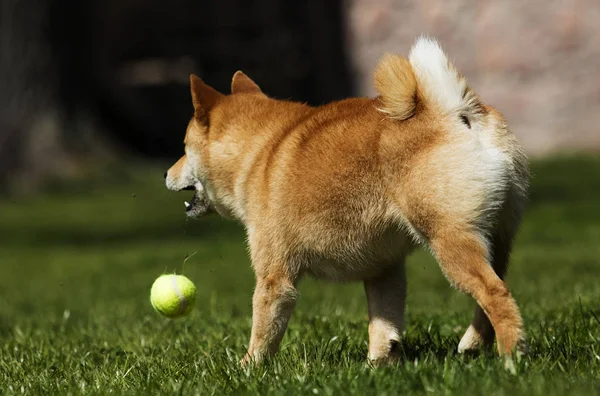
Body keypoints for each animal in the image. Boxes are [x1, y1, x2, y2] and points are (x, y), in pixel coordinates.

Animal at [164, 36, 528, 366]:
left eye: (183, 147)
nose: (166, 173)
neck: (260, 150)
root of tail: (456, 112)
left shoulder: (275, 276)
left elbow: (264, 330)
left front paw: (247, 368)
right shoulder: (384, 269)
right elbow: (383, 324)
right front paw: (378, 366)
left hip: (447, 239)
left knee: (495, 293)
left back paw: (512, 358)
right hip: (495, 238)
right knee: (497, 286)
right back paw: (474, 343)